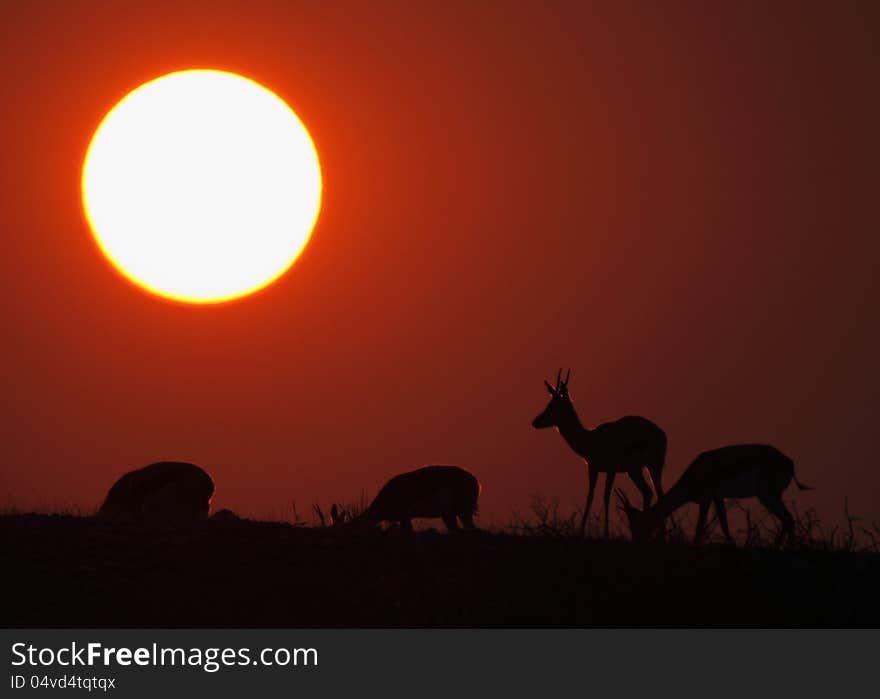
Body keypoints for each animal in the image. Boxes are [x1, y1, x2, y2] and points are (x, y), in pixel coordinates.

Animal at [528, 370, 668, 540]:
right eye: (549, 403)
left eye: (553, 405)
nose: (535, 422)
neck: (591, 438)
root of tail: (659, 431)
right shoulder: (593, 468)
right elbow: (590, 496)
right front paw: (581, 530)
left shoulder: (611, 469)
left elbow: (606, 496)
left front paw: (605, 533)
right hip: (637, 470)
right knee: (650, 492)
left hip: (652, 466)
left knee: (657, 493)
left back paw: (660, 534)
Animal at [620, 442, 812, 548]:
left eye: (639, 524)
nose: (636, 543)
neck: (697, 472)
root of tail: (789, 462)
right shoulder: (718, 498)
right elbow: (724, 525)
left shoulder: (706, 500)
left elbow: (700, 527)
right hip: (769, 496)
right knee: (787, 520)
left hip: (768, 495)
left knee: (788, 519)